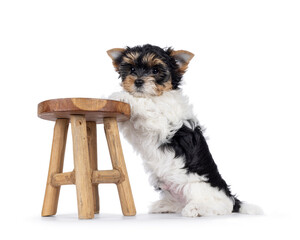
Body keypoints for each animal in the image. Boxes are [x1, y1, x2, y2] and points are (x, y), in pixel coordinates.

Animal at [106, 44, 262, 217]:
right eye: (132, 68)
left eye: (155, 70)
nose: (138, 81)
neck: (159, 96)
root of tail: (232, 199)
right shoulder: (136, 130)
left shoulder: (162, 121)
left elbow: (147, 105)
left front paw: (121, 96)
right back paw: (165, 206)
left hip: (197, 184)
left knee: (219, 206)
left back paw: (196, 208)